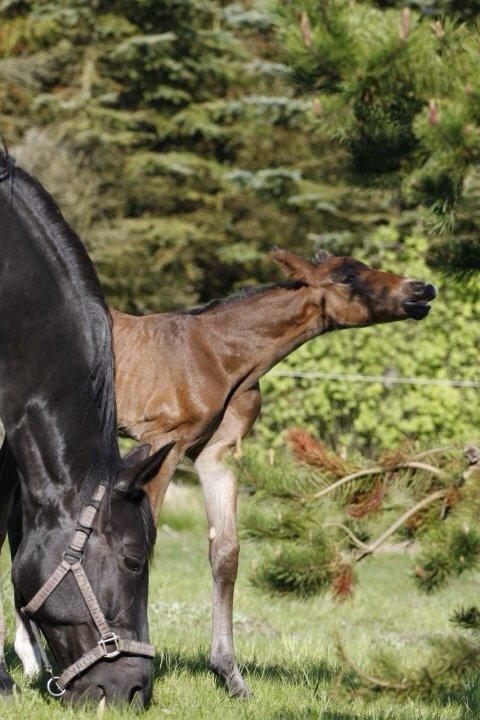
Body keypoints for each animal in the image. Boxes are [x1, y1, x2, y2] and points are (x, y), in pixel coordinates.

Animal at [15, 252, 436, 696]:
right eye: (347, 278)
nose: (421, 288)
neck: (220, 355)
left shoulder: (216, 455)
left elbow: (226, 554)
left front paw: (230, 675)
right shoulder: (164, 439)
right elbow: (147, 539)